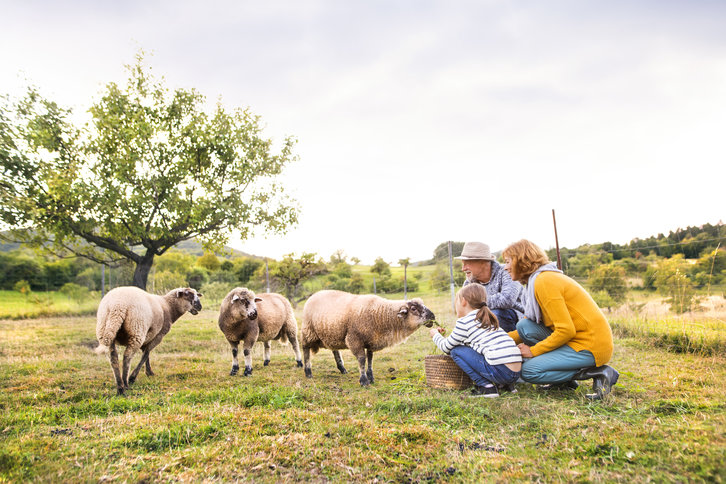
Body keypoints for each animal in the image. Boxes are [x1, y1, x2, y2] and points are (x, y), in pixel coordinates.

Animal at [302, 290, 438, 388]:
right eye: (414, 309)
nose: (433, 316)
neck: (380, 314)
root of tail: (315, 294)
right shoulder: (354, 339)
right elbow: (362, 360)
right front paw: (364, 381)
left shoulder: (371, 341)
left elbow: (370, 359)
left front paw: (371, 377)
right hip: (308, 331)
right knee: (305, 349)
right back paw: (308, 372)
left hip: (332, 334)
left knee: (334, 350)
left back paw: (342, 369)